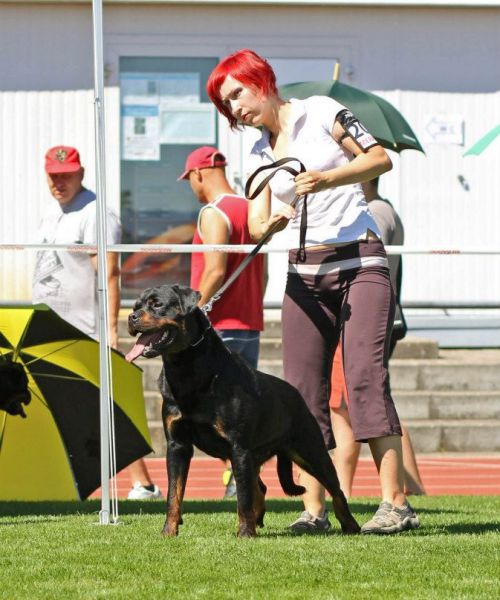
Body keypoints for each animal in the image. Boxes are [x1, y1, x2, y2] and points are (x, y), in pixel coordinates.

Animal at [127, 283, 360, 538]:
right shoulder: (178, 445)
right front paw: (169, 532)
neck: (186, 370)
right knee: (260, 486)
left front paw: (245, 534)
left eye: (157, 304)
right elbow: (174, 493)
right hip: (259, 456)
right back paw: (258, 519)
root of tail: (296, 394)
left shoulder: (238, 447)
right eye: (136, 306)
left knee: (335, 488)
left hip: (310, 449)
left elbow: (243, 498)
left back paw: (351, 524)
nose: (131, 316)